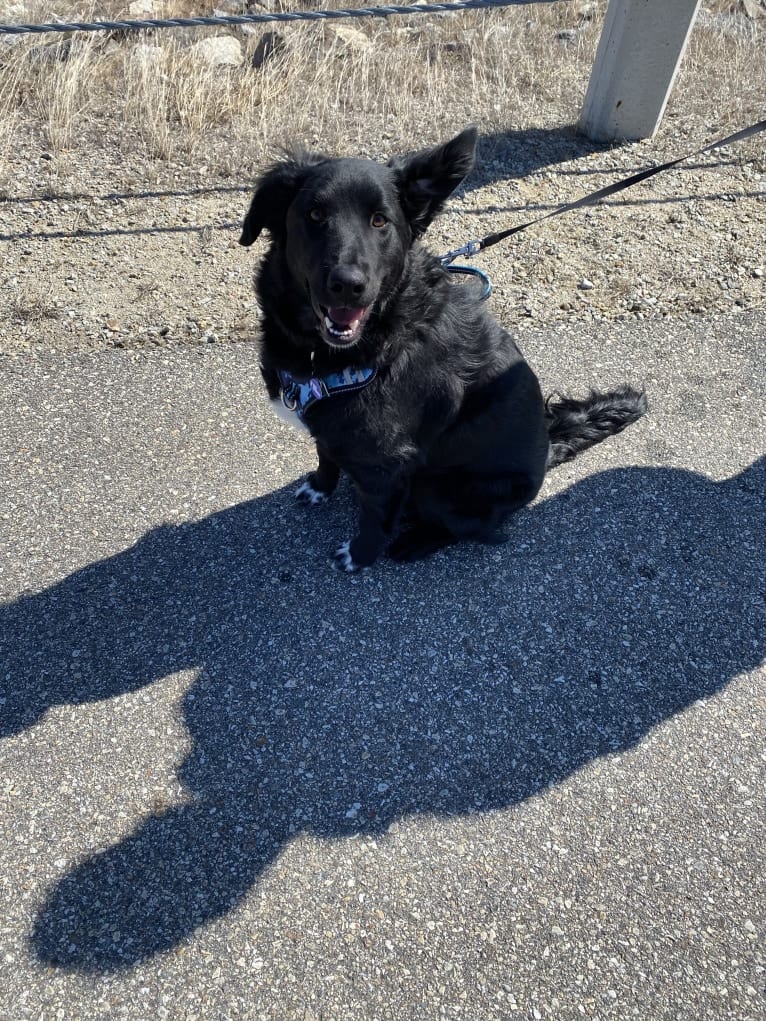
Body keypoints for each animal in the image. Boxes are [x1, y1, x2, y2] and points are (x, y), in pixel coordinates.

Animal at [240, 124, 649, 571]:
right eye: (314, 215)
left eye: (380, 220)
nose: (348, 285)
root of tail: (547, 452)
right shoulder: (331, 432)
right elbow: (325, 455)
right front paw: (320, 486)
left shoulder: (388, 465)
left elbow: (374, 519)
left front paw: (360, 555)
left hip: (439, 490)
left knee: (468, 529)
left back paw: (415, 541)